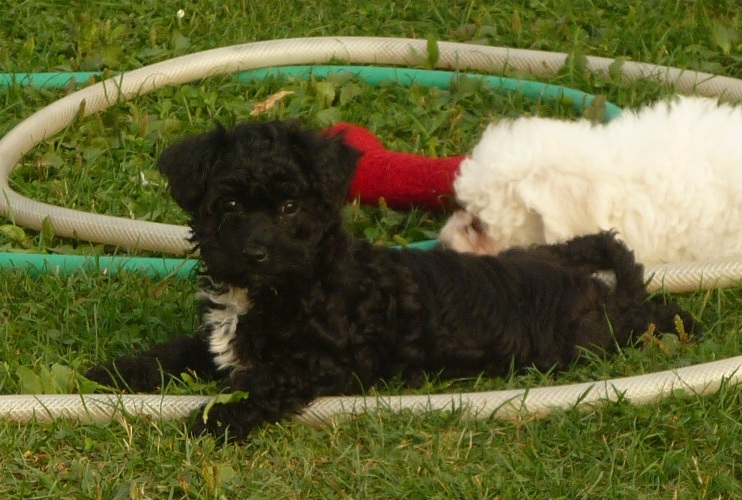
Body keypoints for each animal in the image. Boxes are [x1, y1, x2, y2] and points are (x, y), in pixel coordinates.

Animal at [87, 120, 699, 440]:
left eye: (289, 206)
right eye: (229, 205)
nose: (255, 252)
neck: (286, 284)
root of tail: (601, 290)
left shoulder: (320, 362)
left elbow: (265, 384)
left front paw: (216, 416)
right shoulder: (220, 340)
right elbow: (175, 351)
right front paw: (112, 372)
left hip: (600, 335)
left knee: (653, 315)